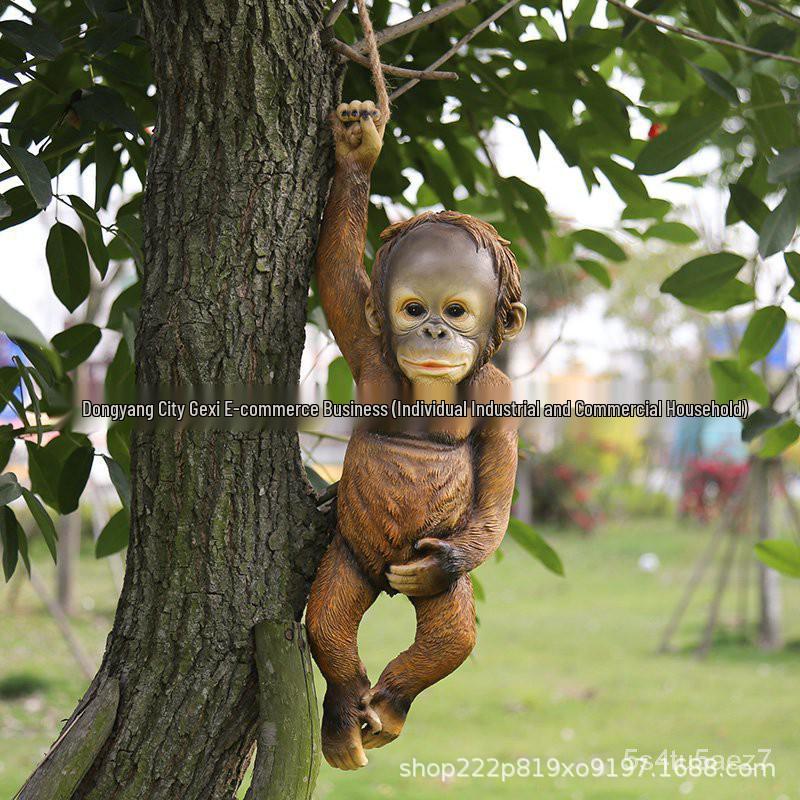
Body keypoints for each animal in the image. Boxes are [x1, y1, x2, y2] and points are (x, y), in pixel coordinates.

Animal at [306, 99, 527, 771]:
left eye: (455, 310)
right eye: (412, 308)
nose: (432, 331)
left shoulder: (500, 395)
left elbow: (497, 497)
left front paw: (444, 563)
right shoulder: (367, 350)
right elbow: (337, 274)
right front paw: (358, 148)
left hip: (419, 576)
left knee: (451, 634)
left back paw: (388, 707)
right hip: (351, 556)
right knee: (327, 619)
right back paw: (347, 717)